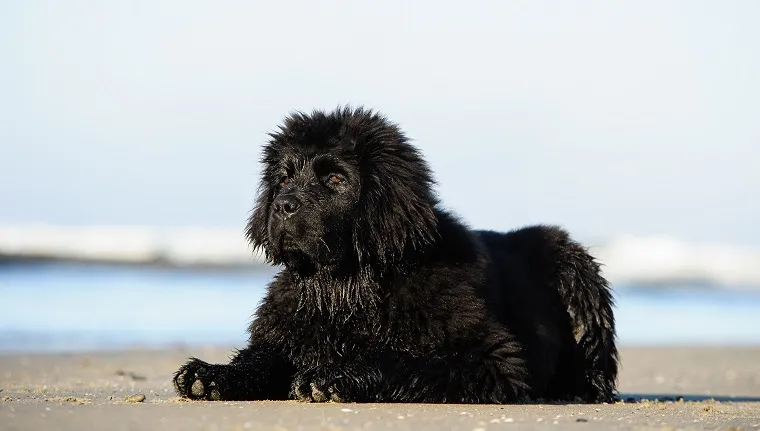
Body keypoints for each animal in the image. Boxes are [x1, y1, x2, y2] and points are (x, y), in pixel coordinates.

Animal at [174, 106, 616, 404]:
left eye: (336, 180)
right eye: (284, 177)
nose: (282, 205)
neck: (347, 289)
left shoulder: (493, 359)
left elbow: (407, 360)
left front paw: (336, 377)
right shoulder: (286, 332)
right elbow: (263, 358)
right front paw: (211, 375)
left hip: (573, 266)